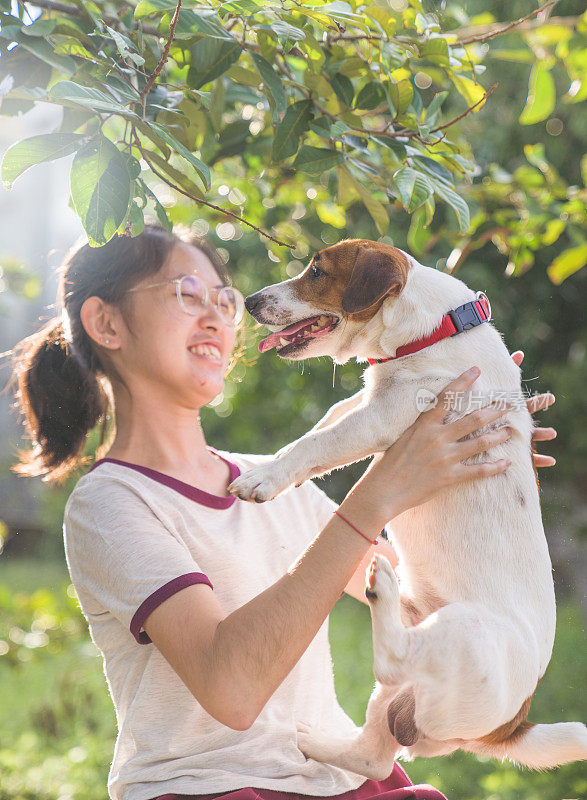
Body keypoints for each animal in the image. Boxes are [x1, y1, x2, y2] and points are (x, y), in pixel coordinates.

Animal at [229, 238, 587, 776]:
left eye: (317, 272)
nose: (249, 302)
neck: (434, 330)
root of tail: (511, 724)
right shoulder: (364, 402)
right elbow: (321, 426)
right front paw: (266, 464)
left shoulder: (382, 415)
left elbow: (317, 443)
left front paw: (263, 477)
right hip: (398, 697)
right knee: (372, 757)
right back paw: (314, 741)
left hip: (466, 632)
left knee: (392, 659)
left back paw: (384, 586)